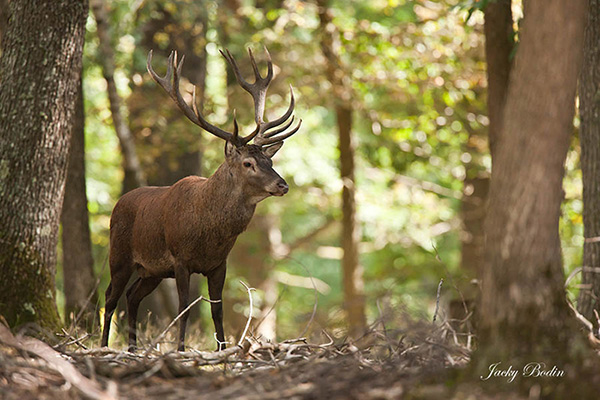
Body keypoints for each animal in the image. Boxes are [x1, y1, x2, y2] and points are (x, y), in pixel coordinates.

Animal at [101, 48, 304, 352]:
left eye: (269, 161)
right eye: (248, 163)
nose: (283, 185)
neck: (210, 234)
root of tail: (118, 203)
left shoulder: (219, 264)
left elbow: (217, 309)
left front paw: (222, 349)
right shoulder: (180, 259)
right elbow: (184, 307)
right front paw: (181, 349)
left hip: (152, 271)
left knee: (132, 296)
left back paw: (133, 348)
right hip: (120, 255)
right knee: (110, 296)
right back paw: (104, 346)